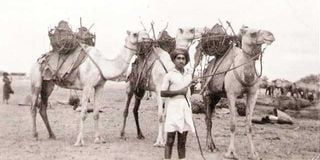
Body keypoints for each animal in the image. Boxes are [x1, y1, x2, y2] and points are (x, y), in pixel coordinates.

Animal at [202, 26, 276, 159]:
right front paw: (231, 153)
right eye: (253, 33)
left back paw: (212, 146)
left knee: (209, 117)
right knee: (208, 119)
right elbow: (233, 125)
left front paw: (253, 153)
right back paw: (210, 147)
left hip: (216, 96)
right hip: (207, 93)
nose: (270, 35)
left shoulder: (253, 94)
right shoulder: (231, 94)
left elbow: (249, 125)